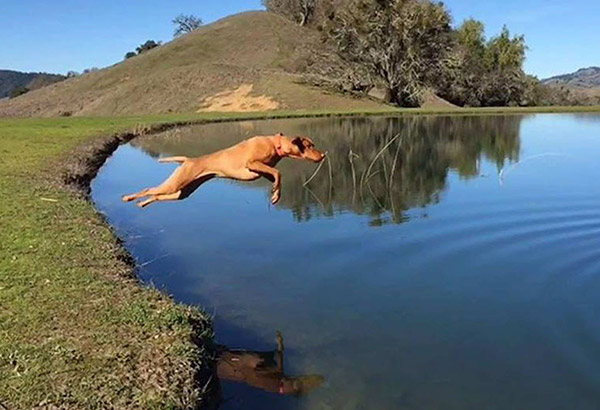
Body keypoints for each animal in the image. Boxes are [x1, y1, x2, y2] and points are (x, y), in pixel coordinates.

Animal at [122, 133, 326, 207]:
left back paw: (143, 204)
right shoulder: (252, 164)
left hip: (182, 192)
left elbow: (276, 176)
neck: (276, 144)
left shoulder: (263, 171)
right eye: (310, 145)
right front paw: (276, 194)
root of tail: (189, 159)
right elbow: (279, 173)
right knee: (149, 189)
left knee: (157, 196)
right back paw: (129, 198)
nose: (323, 154)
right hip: (175, 184)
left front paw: (276, 193)